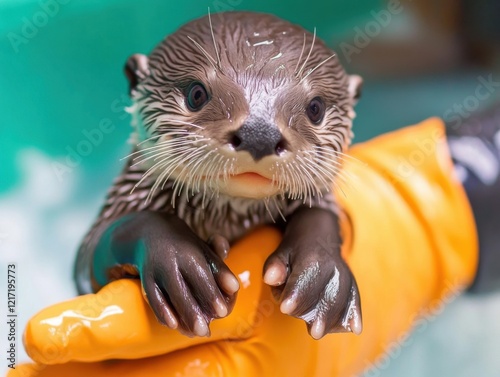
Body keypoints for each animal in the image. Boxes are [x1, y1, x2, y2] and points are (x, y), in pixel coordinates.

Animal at [75, 11, 364, 340]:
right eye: (196, 94)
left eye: (315, 108)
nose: (259, 134)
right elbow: (93, 251)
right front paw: (181, 262)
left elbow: (326, 214)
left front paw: (321, 269)